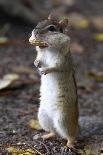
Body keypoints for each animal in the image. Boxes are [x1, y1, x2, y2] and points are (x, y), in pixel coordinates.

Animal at [28, 13, 78, 148]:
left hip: (63, 118)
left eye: (51, 28)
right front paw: (36, 63)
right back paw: (46, 136)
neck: (48, 49)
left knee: (70, 135)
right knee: (54, 132)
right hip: (43, 116)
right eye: (39, 22)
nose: (35, 31)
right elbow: (39, 60)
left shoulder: (63, 60)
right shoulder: (41, 56)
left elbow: (56, 67)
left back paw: (69, 145)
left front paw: (46, 70)